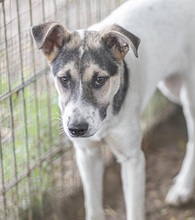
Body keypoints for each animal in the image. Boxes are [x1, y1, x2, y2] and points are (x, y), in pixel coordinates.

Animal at [30, 0, 195, 218]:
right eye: (64, 79)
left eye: (100, 80)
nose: (77, 129)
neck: (106, 120)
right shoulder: (87, 154)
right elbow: (92, 207)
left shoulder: (132, 159)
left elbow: (134, 211)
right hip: (172, 88)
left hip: (189, 95)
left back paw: (183, 187)